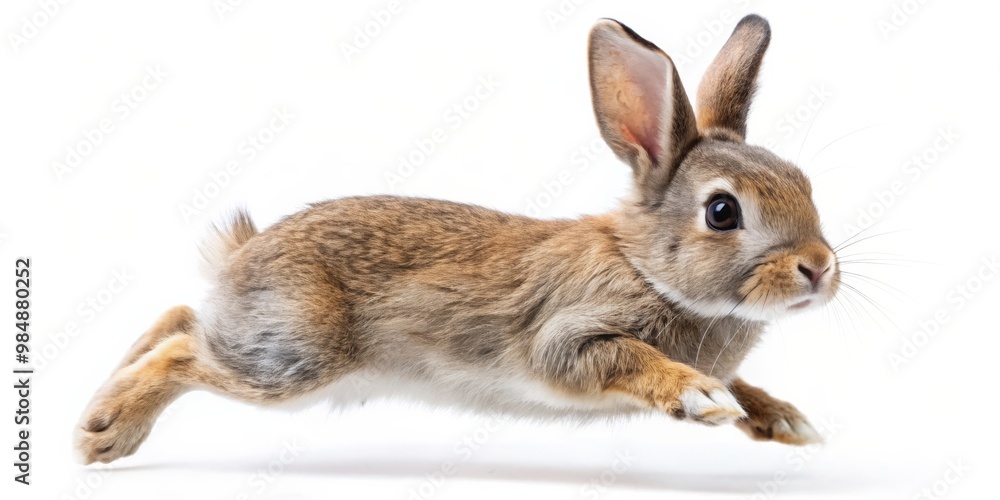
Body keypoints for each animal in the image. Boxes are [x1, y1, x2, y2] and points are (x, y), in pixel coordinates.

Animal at [75, 14, 839, 465]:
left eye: (805, 182)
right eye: (722, 212)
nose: (820, 268)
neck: (647, 266)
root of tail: (240, 257)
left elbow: (744, 381)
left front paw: (785, 421)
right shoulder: (569, 335)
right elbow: (634, 361)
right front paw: (700, 397)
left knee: (181, 316)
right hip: (292, 360)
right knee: (184, 351)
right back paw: (105, 428)